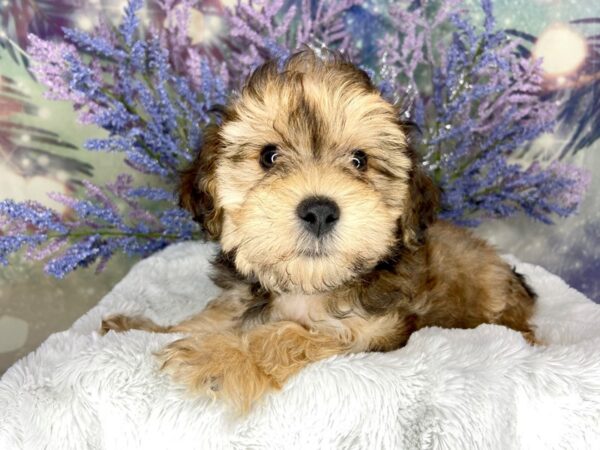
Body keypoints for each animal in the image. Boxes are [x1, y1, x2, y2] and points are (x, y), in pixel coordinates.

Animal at [101, 51, 536, 414]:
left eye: (359, 161)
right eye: (269, 157)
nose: (320, 211)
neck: (308, 286)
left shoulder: (374, 332)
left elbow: (288, 336)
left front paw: (223, 357)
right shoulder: (240, 301)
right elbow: (212, 317)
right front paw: (144, 329)